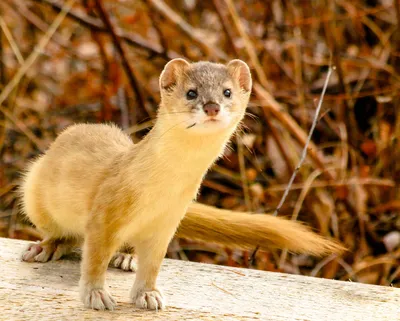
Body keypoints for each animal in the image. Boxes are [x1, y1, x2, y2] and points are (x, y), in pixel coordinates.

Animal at [19, 58, 344, 310]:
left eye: (227, 91)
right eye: (191, 92)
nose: (212, 107)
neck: (163, 190)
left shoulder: (168, 221)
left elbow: (153, 263)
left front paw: (148, 294)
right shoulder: (105, 213)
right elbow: (94, 257)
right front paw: (96, 294)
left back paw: (126, 257)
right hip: (34, 193)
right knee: (65, 234)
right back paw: (44, 248)